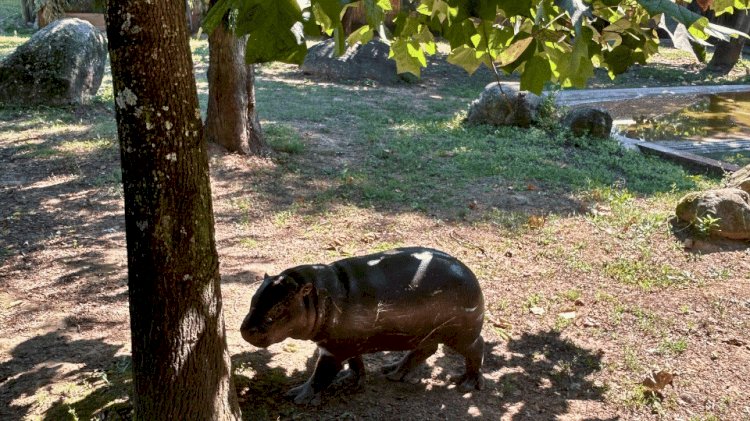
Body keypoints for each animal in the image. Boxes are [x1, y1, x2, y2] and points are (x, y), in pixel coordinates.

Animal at [241, 246, 488, 404]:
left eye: (276, 311)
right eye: (253, 300)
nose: (245, 330)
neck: (317, 296)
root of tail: (472, 275)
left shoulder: (332, 349)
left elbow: (320, 375)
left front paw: (297, 396)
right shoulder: (348, 341)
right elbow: (355, 363)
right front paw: (352, 381)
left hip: (462, 335)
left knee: (477, 348)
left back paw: (467, 384)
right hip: (424, 333)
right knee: (425, 350)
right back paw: (392, 372)